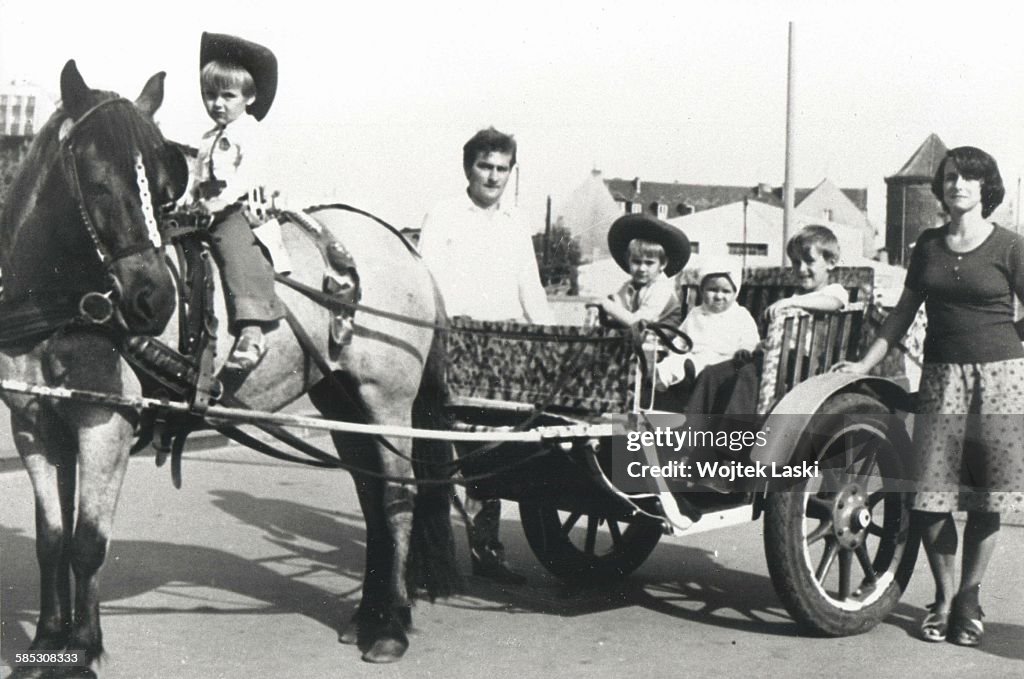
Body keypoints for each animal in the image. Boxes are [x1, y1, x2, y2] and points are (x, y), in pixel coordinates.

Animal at [0, 62, 456, 675]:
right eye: (97, 182)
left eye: (164, 188)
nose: (153, 300)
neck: (62, 306)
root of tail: (405, 247)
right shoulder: (34, 424)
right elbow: (52, 540)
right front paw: (48, 642)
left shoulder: (106, 425)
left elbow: (88, 542)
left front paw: (83, 648)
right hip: (343, 402)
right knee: (370, 496)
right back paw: (370, 614)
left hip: (387, 400)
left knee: (396, 499)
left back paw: (389, 627)